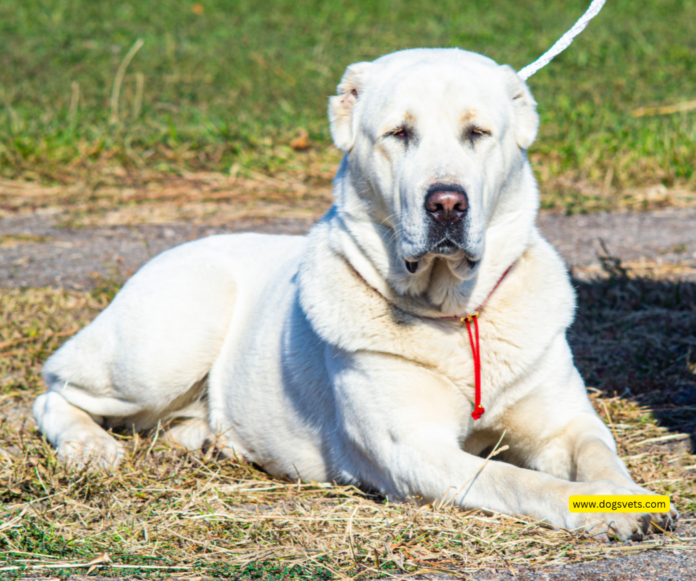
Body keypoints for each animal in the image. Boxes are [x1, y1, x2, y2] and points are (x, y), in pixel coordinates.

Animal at [34, 48, 676, 540]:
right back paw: (89, 448)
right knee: (53, 391)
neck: (456, 312)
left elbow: (599, 451)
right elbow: (519, 480)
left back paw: (215, 442)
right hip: (165, 344)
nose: (447, 203)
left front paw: (628, 496)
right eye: (399, 133)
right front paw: (600, 513)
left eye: (477, 133)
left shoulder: (563, 422)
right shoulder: (416, 450)